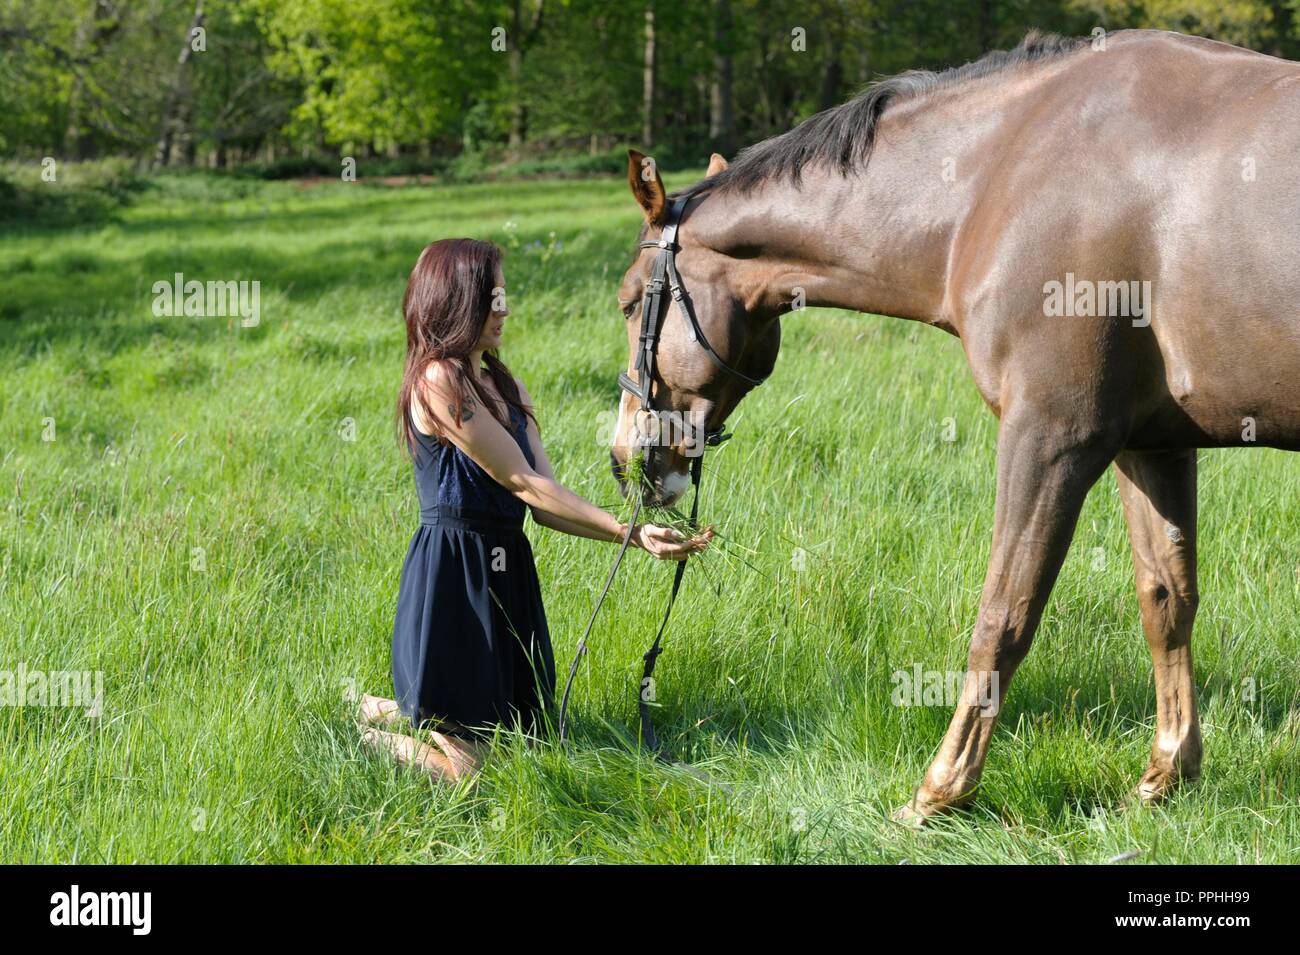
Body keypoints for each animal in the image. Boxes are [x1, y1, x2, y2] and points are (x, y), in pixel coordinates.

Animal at [607, 29, 1300, 819]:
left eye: (629, 300)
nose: (625, 456)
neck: (1001, 176)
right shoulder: (1151, 445)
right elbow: (1167, 600)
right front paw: (1167, 773)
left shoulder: (1051, 437)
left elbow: (1003, 616)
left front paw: (940, 790)